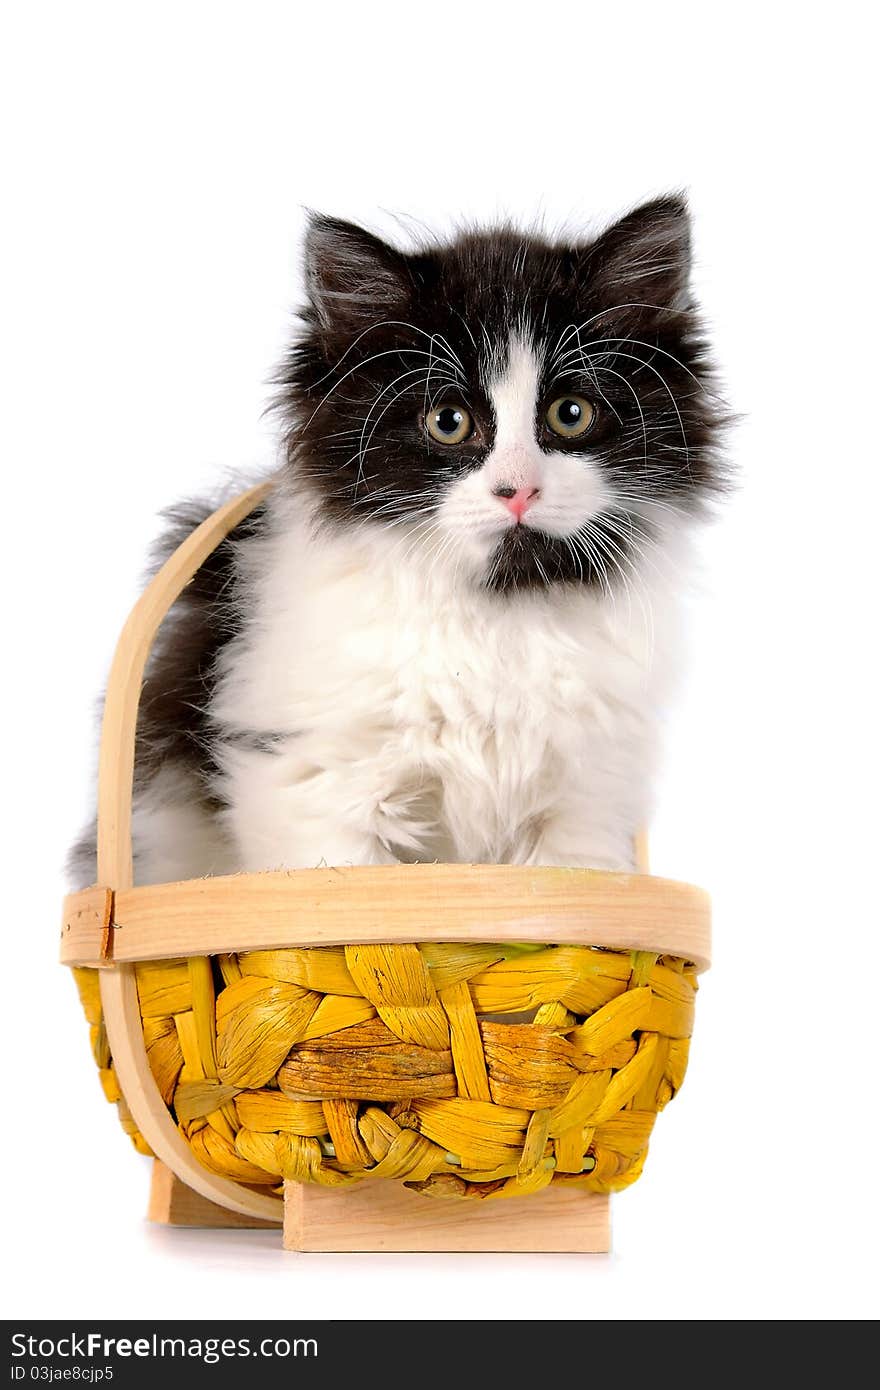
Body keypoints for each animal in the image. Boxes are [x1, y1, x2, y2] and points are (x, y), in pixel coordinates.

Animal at [70, 190, 722, 884]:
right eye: (448, 422)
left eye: (570, 414)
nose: (517, 490)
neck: (497, 613)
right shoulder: (316, 781)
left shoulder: (586, 804)